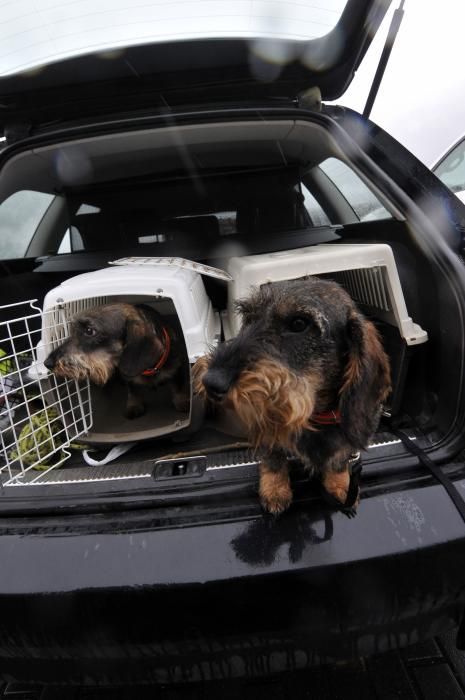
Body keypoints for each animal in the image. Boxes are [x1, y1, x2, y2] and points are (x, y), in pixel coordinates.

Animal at [44, 302, 188, 422]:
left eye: (90, 330)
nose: (47, 363)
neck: (148, 369)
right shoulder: (129, 378)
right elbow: (133, 391)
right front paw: (134, 405)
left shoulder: (177, 369)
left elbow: (179, 387)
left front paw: (182, 402)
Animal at [190, 278, 390, 516]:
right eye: (248, 317)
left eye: (299, 323)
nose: (210, 382)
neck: (315, 416)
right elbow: (274, 458)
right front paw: (275, 489)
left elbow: (339, 460)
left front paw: (341, 484)